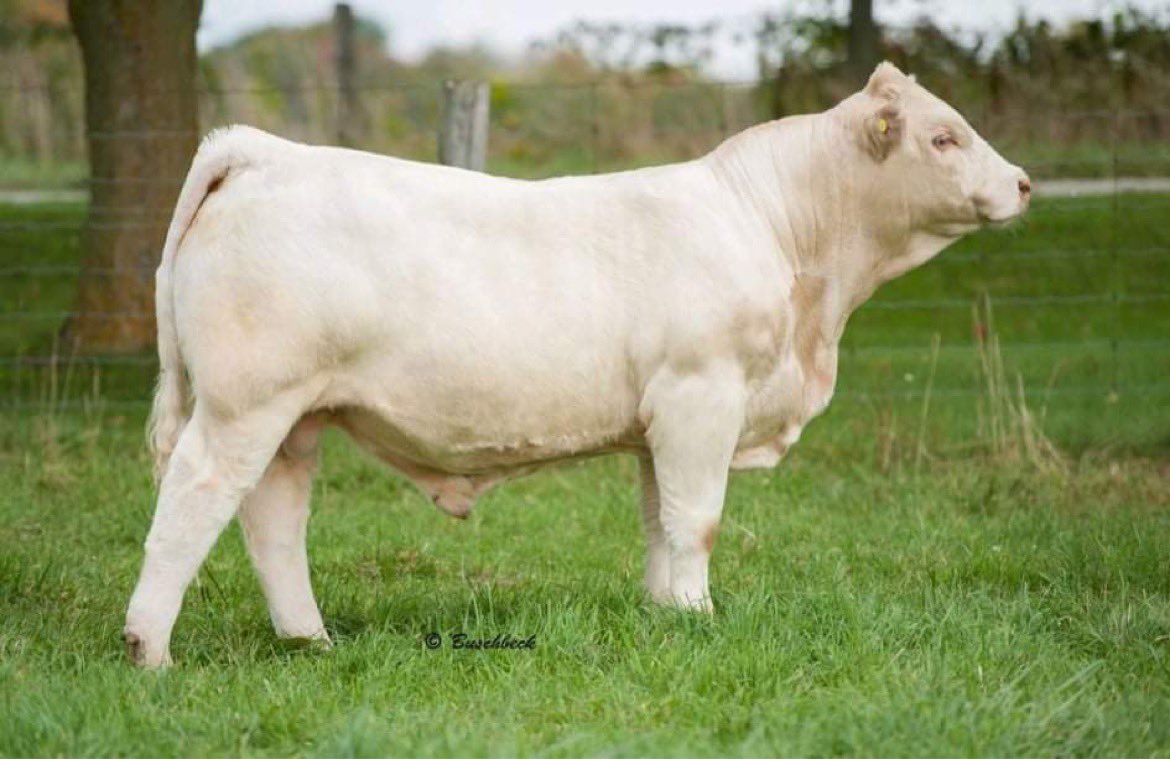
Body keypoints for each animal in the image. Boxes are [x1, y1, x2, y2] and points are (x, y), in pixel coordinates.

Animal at [123, 63, 1030, 667]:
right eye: (943, 136)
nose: (1023, 182)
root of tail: (265, 151)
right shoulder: (703, 392)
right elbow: (699, 517)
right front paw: (702, 613)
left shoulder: (662, 417)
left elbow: (662, 519)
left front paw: (669, 614)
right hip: (247, 401)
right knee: (197, 496)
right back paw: (150, 648)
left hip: (297, 414)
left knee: (273, 516)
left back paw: (310, 637)